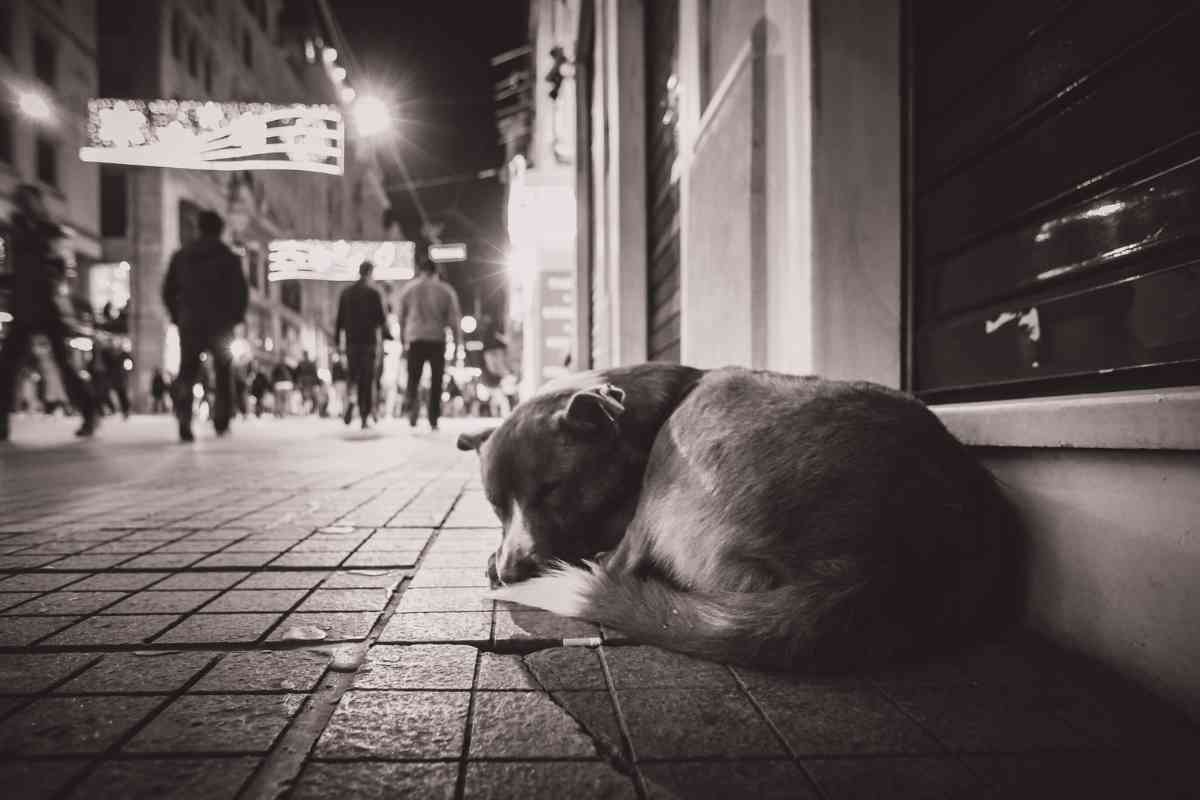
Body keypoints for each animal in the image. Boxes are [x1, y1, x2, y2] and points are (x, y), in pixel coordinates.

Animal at [456, 367, 1022, 671]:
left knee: (621, 565)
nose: (511, 571)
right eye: (495, 505)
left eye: (552, 489)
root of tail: (868, 570)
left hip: (700, 415)